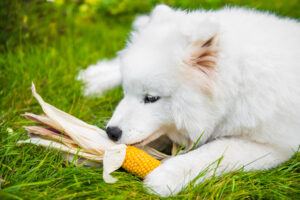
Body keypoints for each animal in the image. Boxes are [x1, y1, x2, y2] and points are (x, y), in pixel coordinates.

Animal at [79, 5, 300, 197]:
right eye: (125, 92)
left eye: (151, 98)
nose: (111, 132)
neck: (239, 85)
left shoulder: (275, 145)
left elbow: (215, 151)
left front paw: (167, 176)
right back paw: (95, 78)